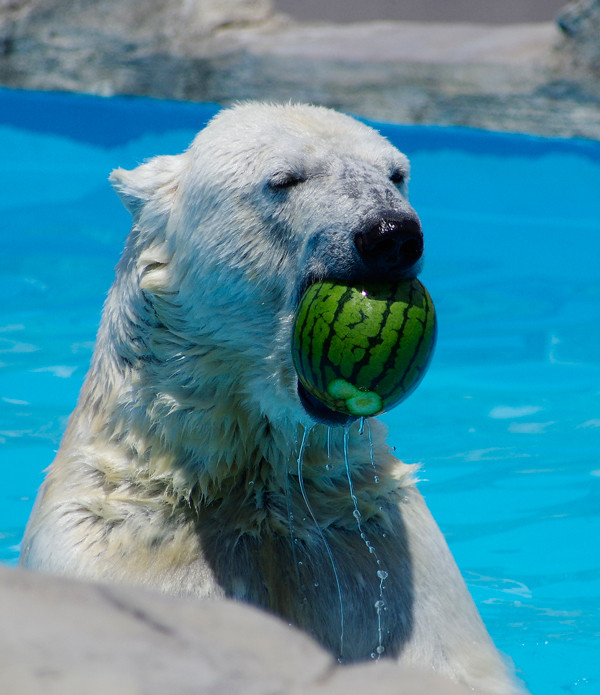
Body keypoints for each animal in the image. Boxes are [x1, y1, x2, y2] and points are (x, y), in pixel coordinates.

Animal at [19, 103, 524, 695]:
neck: (244, 486)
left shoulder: (378, 555)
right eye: (283, 180)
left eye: (397, 174)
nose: (391, 234)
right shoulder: (119, 555)